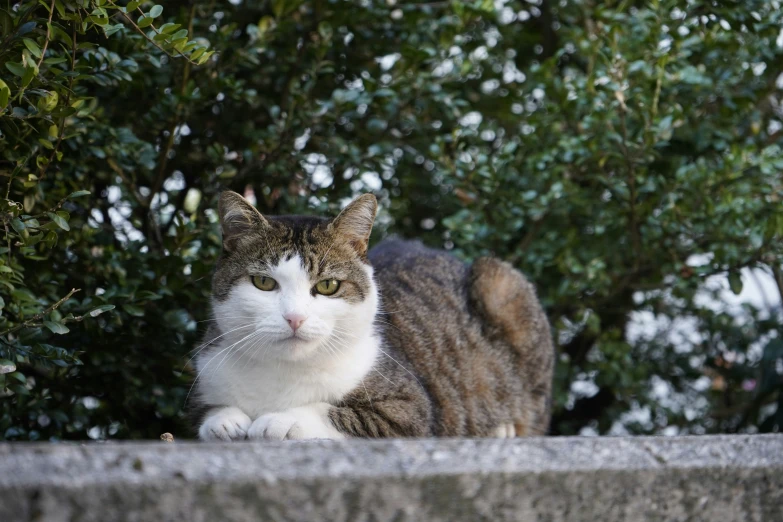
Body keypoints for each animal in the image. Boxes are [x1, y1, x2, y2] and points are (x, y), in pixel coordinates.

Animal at [192, 191, 556, 438]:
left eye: (328, 286)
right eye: (264, 283)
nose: (295, 318)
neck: (284, 373)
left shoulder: (410, 409)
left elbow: (337, 412)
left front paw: (281, 420)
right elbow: (208, 413)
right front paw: (224, 420)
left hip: (500, 282)